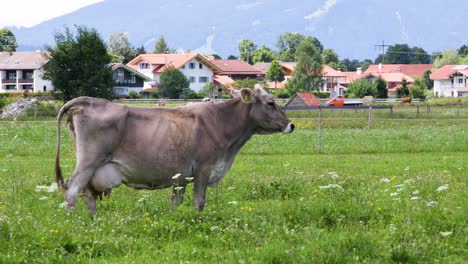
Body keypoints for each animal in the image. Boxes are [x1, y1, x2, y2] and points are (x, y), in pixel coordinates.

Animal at [55, 86, 292, 214]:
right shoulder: (203, 168)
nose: (291, 125)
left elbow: (175, 203)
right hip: (88, 162)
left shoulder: (181, 177)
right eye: (271, 103)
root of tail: (86, 101)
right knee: (72, 191)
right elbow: (199, 202)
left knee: (87, 195)